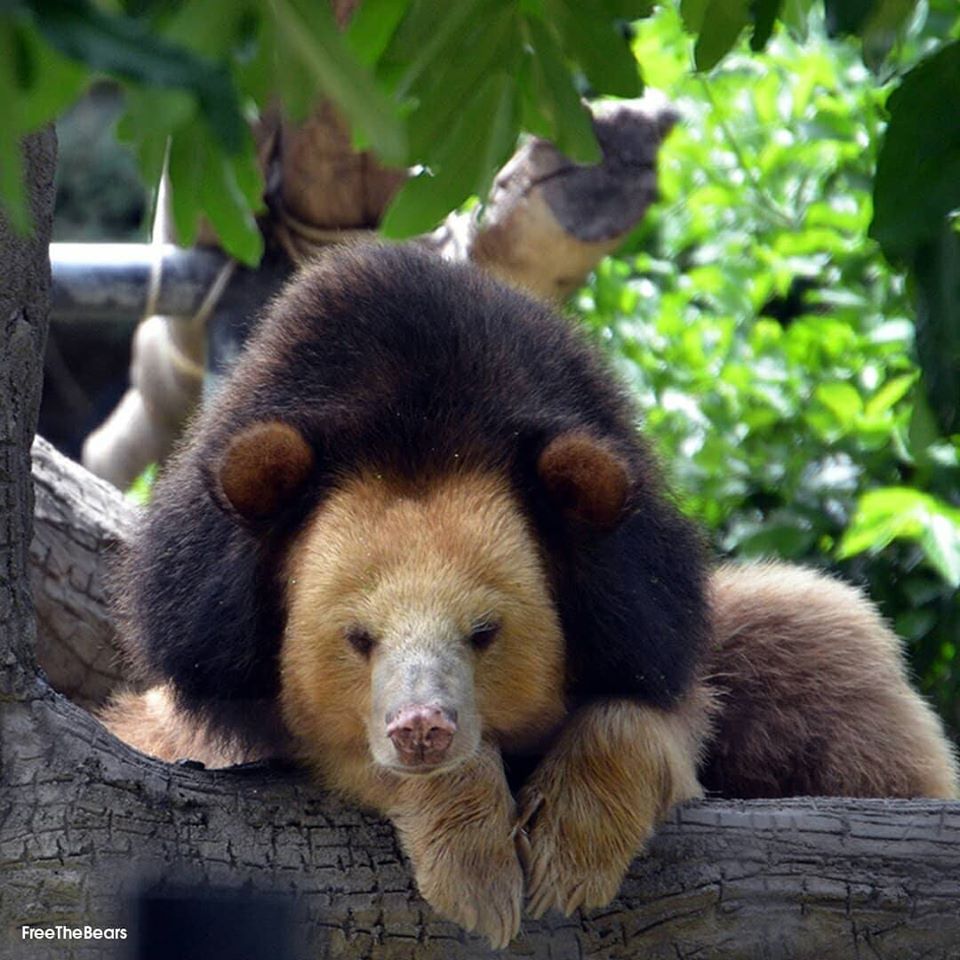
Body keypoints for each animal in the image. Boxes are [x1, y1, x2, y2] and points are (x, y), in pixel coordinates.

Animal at [101, 244, 956, 948]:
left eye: (485, 632)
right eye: (357, 638)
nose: (423, 730)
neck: (422, 412)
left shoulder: (647, 602)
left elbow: (660, 711)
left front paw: (564, 855)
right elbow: (323, 743)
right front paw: (476, 871)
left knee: (831, 649)